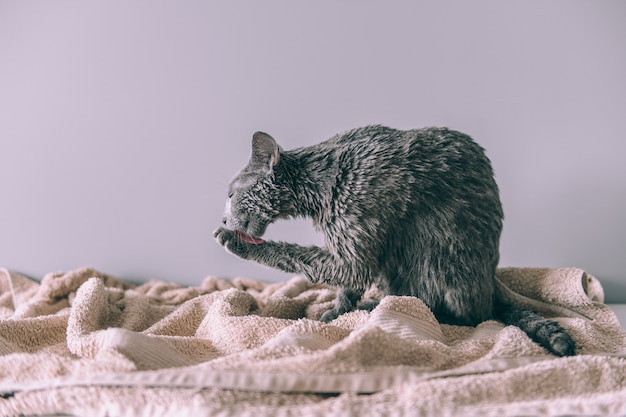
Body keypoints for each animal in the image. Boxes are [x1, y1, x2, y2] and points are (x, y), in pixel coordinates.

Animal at [212, 125, 572, 356]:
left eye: (230, 194)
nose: (223, 219)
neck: (321, 187)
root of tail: (490, 286)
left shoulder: (354, 244)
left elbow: (309, 259)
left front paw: (235, 241)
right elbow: (347, 286)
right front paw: (336, 313)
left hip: (440, 254)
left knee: (458, 315)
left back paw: (377, 308)